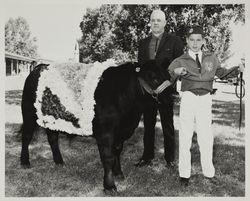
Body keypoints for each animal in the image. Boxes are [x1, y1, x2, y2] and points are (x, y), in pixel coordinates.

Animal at [20, 60, 174, 193]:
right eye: (154, 78)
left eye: (169, 77)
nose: (170, 99)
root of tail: (40, 66)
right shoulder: (105, 132)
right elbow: (108, 157)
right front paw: (109, 186)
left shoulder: (120, 132)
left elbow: (117, 152)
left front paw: (118, 173)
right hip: (28, 112)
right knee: (26, 136)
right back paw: (25, 162)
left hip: (52, 118)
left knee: (52, 137)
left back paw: (59, 162)